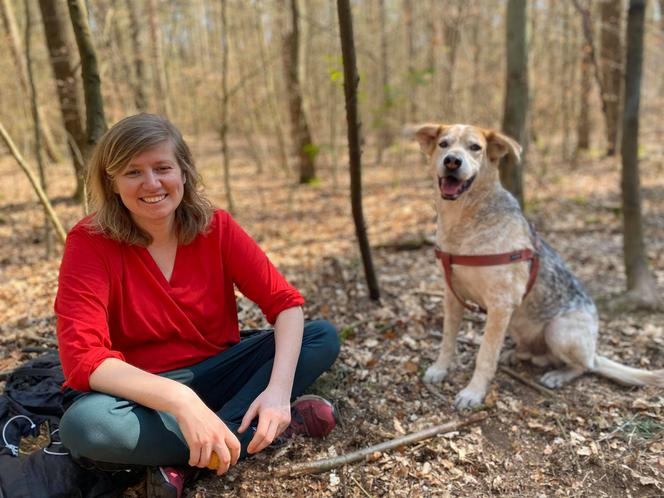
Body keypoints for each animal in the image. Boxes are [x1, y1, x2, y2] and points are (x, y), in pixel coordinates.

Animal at [416, 123, 664, 408]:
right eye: (443, 144)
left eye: (475, 147)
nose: (452, 161)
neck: (461, 223)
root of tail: (593, 351)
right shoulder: (452, 297)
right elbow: (447, 340)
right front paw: (440, 369)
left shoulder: (500, 305)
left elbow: (484, 355)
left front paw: (473, 392)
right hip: (516, 324)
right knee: (534, 354)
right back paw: (516, 355)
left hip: (558, 330)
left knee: (584, 367)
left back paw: (557, 375)